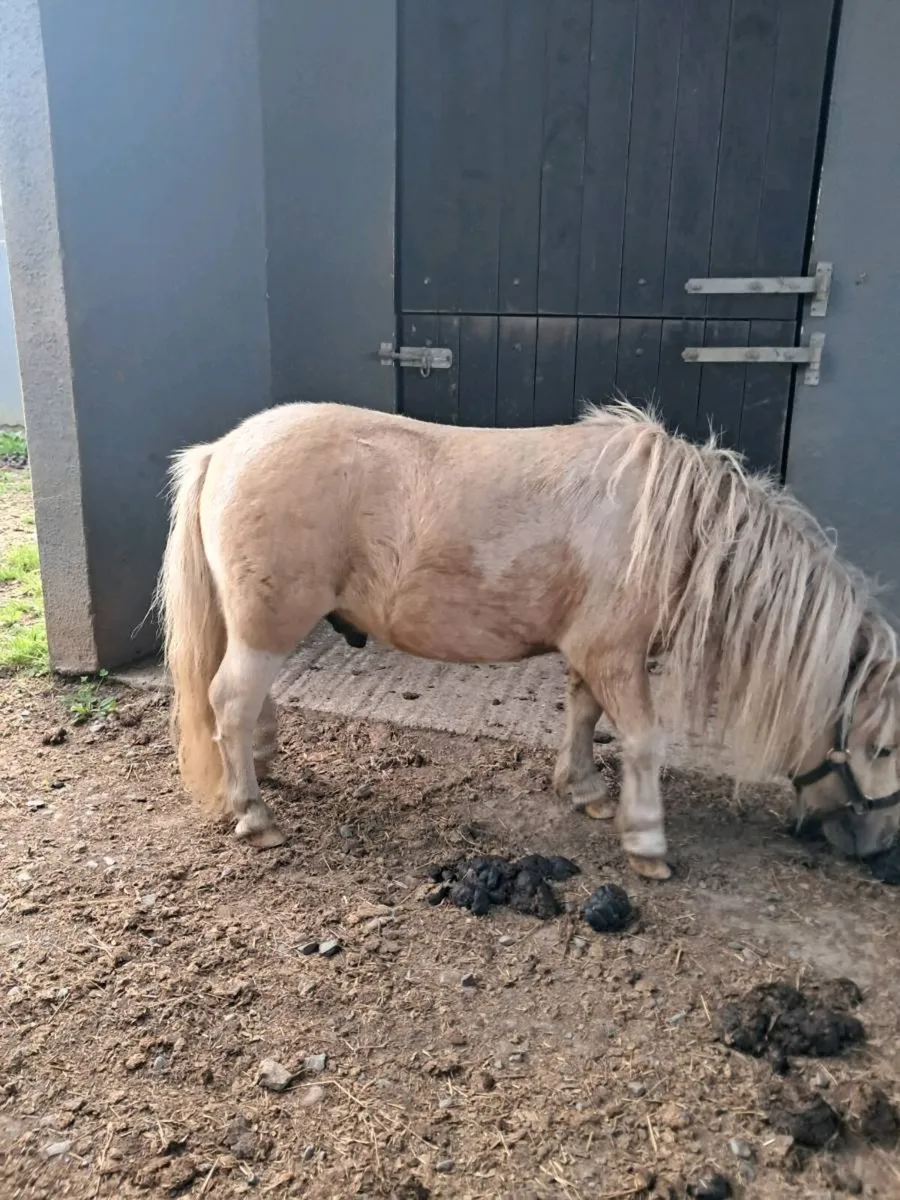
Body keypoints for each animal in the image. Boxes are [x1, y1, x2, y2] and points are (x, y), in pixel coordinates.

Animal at [155, 401, 900, 880]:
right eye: (885, 747)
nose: (878, 848)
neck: (669, 530)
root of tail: (223, 450)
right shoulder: (616, 656)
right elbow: (643, 742)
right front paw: (647, 840)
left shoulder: (594, 654)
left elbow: (584, 715)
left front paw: (585, 789)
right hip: (267, 628)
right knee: (231, 701)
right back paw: (254, 813)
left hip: (261, 627)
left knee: (248, 704)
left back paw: (260, 765)